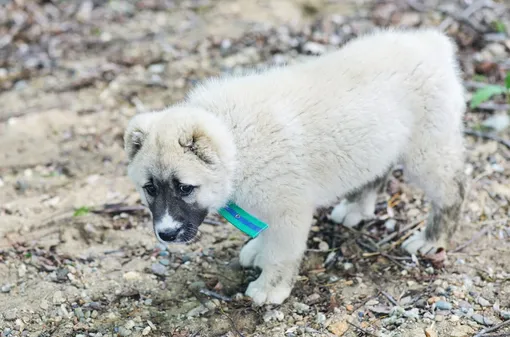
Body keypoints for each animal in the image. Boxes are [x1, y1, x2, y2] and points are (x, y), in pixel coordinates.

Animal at [123, 27, 466, 304]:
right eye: (149, 188)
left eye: (184, 187)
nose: (166, 234)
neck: (237, 138)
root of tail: (431, 42)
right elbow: (267, 236)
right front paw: (258, 250)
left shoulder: (289, 209)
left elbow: (281, 254)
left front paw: (269, 288)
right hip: (381, 142)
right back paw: (356, 208)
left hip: (427, 151)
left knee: (452, 190)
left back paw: (431, 240)